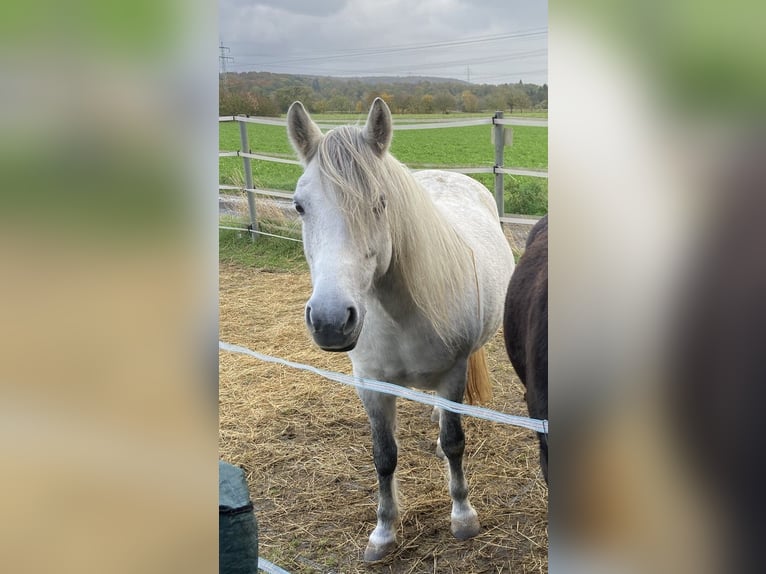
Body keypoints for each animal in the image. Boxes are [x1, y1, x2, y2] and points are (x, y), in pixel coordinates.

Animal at [286, 98, 515, 561]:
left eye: (380, 203)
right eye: (300, 206)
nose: (330, 321)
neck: (400, 315)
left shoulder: (452, 374)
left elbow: (454, 442)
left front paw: (463, 517)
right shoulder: (370, 384)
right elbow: (384, 455)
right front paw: (383, 532)